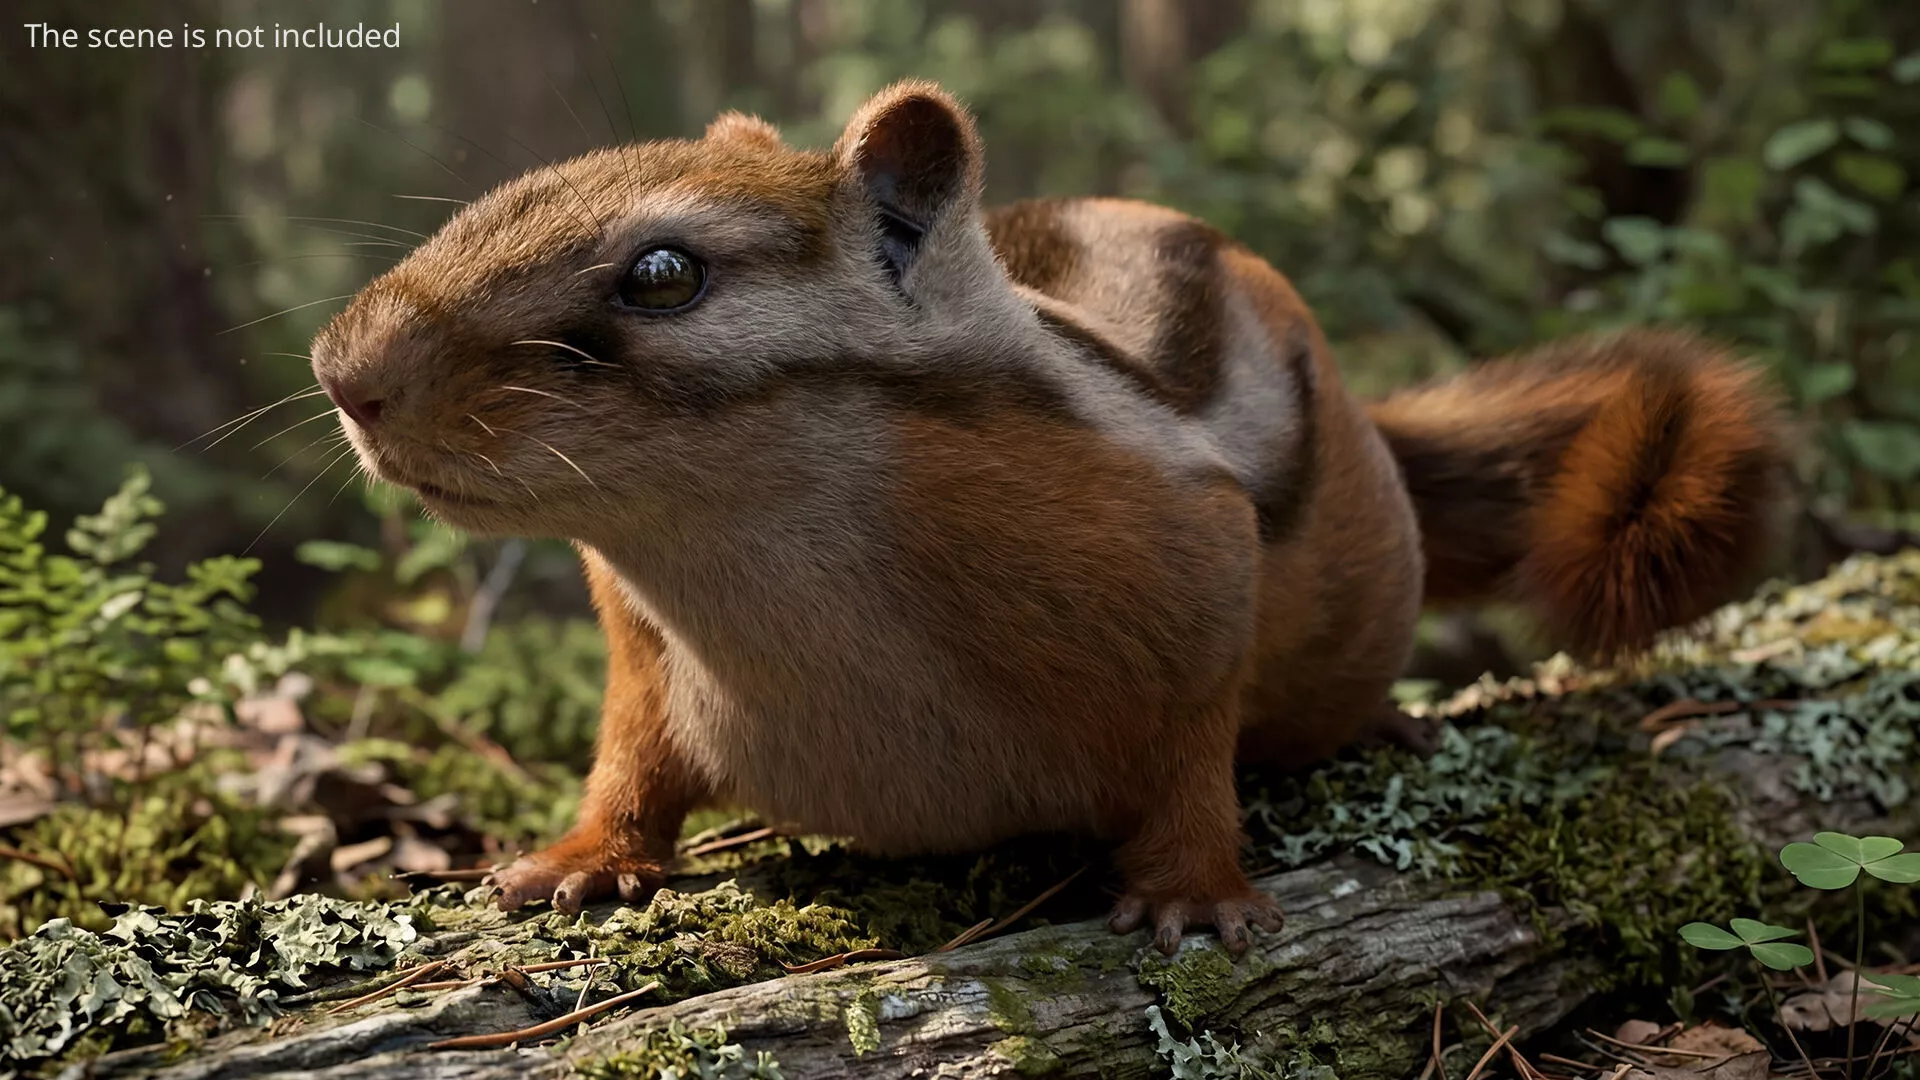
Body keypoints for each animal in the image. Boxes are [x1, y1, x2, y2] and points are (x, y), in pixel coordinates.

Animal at [310, 81, 1786, 956]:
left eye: (664, 274)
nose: (344, 374)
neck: (755, 564)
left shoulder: (1195, 578)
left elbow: (1192, 750)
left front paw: (1193, 892)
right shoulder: (641, 652)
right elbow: (630, 759)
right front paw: (574, 861)